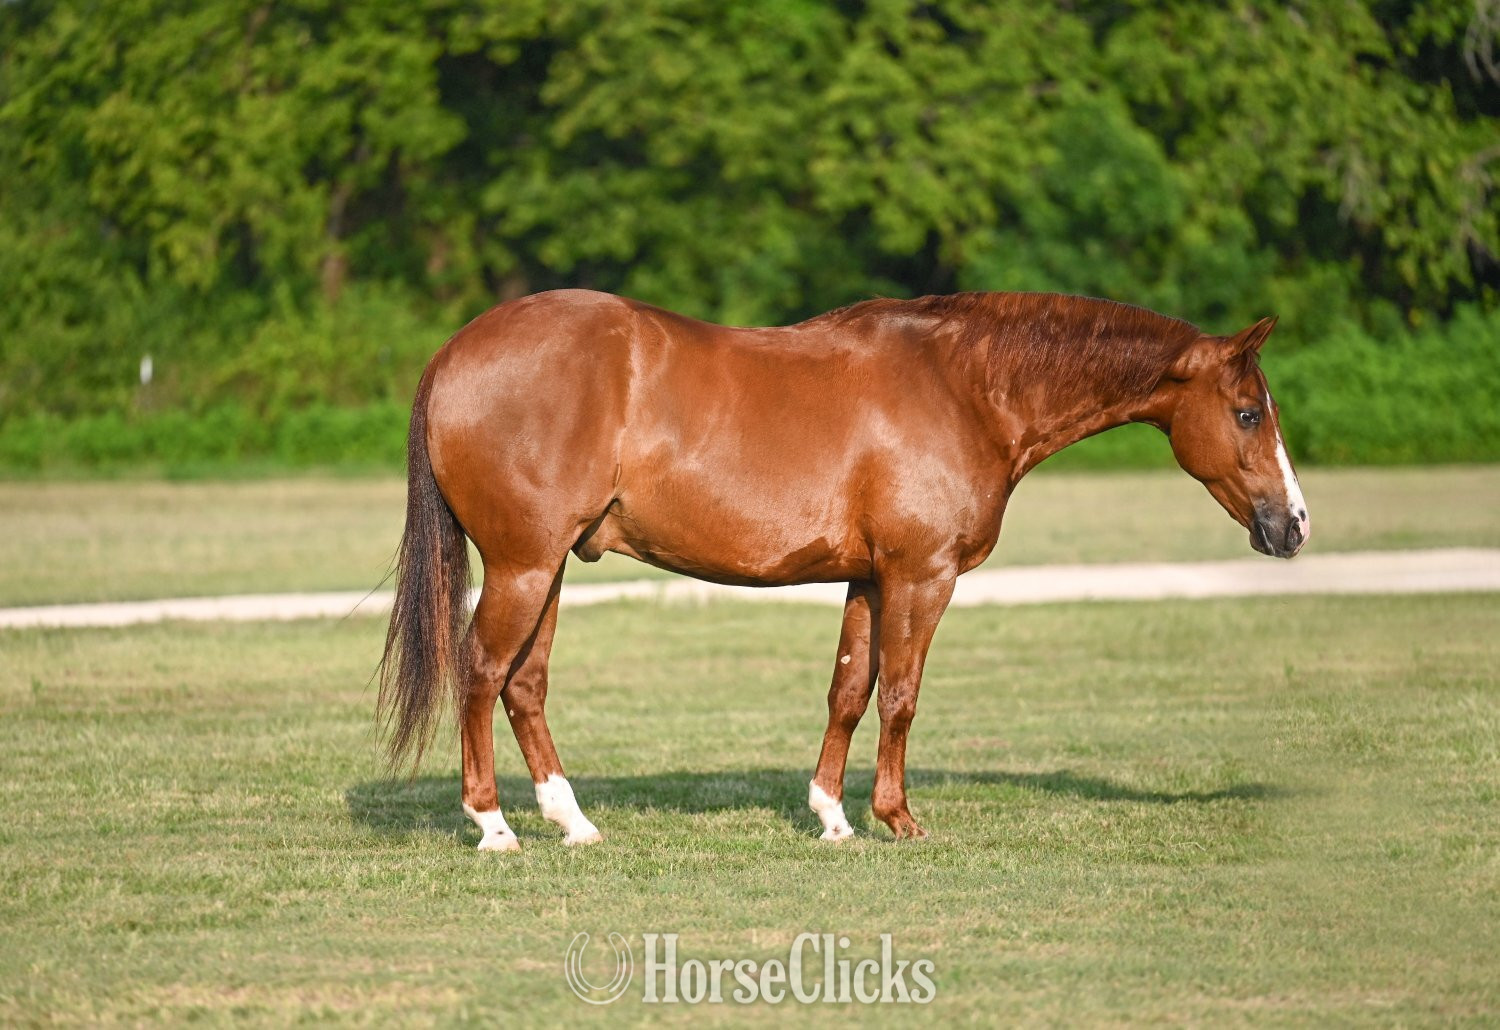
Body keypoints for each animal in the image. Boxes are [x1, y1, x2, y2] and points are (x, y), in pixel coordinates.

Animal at [377, 289, 1309, 851]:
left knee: (524, 683)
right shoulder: (923, 576)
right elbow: (900, 696)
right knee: (481, 670)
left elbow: (850, 689)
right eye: (1247, 412)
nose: (1293, 524)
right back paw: (494, 826)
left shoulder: (869, 578)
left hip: (547, 571)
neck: (964, 388)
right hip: (523, 567)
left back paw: (571, 821)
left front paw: (830, 814)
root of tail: (455, 353)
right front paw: (896, 818)